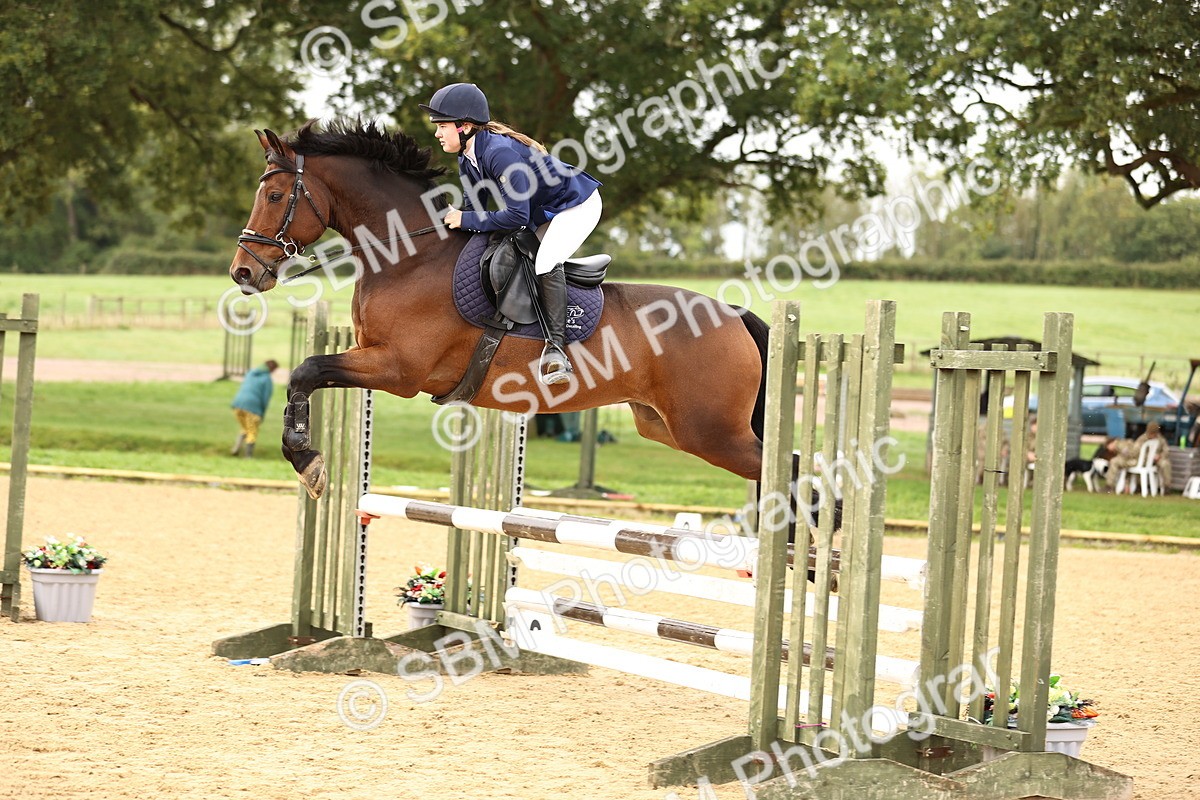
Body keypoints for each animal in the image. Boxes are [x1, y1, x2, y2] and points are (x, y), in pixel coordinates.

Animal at [229, 121, 771, 500]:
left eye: (274, 195)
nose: (243, 273)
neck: (410, 256)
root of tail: (732, 314)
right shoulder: (375, 358)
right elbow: (306, 376)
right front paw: (306, 461)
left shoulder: (398, 370)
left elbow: (307, 369)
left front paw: (308, 462)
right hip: (665, 425)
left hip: (712, 431)